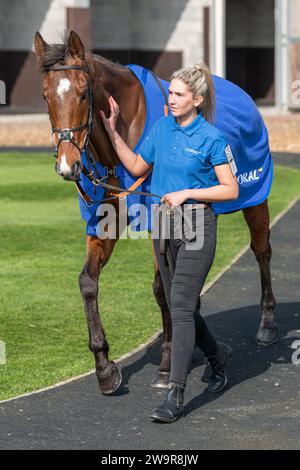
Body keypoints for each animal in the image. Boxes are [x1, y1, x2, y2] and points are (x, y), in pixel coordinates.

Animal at [34, 31, 278, 394]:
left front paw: (166, 362)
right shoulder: (103, 221)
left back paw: (267, 324)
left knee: (262, 251)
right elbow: (88, 282)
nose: (68, 165)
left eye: (82, 93)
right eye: (46, 95)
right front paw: (104, 367)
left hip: (254, 198)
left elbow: (162, 288)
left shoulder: (158, 220)